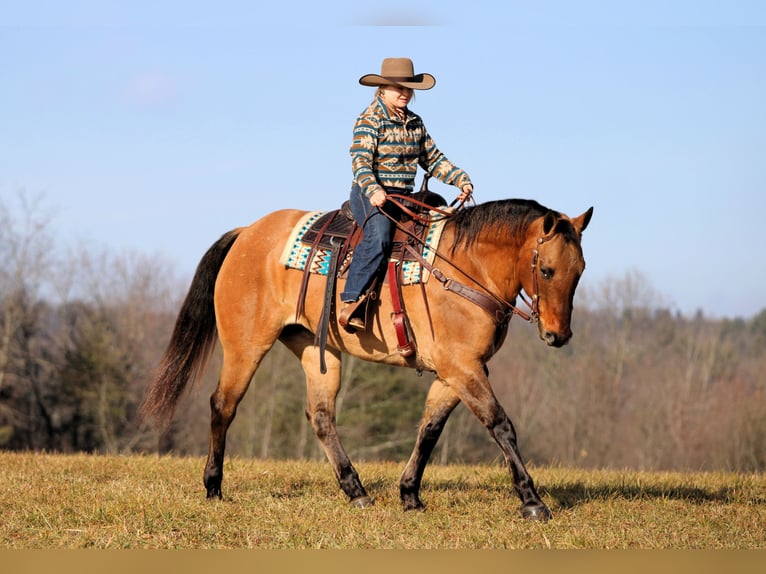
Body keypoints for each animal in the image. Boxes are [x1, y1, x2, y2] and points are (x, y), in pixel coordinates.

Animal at [140, 197, 593, 521]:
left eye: (580, 270)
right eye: (547, 270)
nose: (559, 336)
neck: (466, 269)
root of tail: (247, 232)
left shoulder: (457, 370)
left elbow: (430, 429)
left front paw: (410, 494)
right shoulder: (463, 367)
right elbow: (501, 425)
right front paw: (532, 501)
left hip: (316, 350)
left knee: (321, 417)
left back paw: (355, 491)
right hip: (246, 345)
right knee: (223, 405)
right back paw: (214, 486)